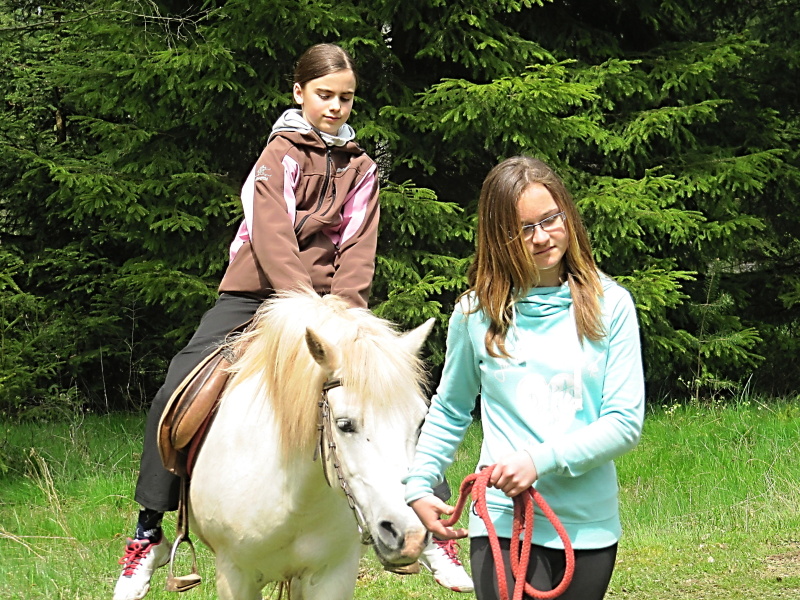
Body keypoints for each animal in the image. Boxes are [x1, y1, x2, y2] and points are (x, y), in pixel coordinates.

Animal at [188, 290, 434, 599]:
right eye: (344, 424)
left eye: (421, 421)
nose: (409, 535)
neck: (295, 498)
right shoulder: (234, 576)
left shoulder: (334, 575)